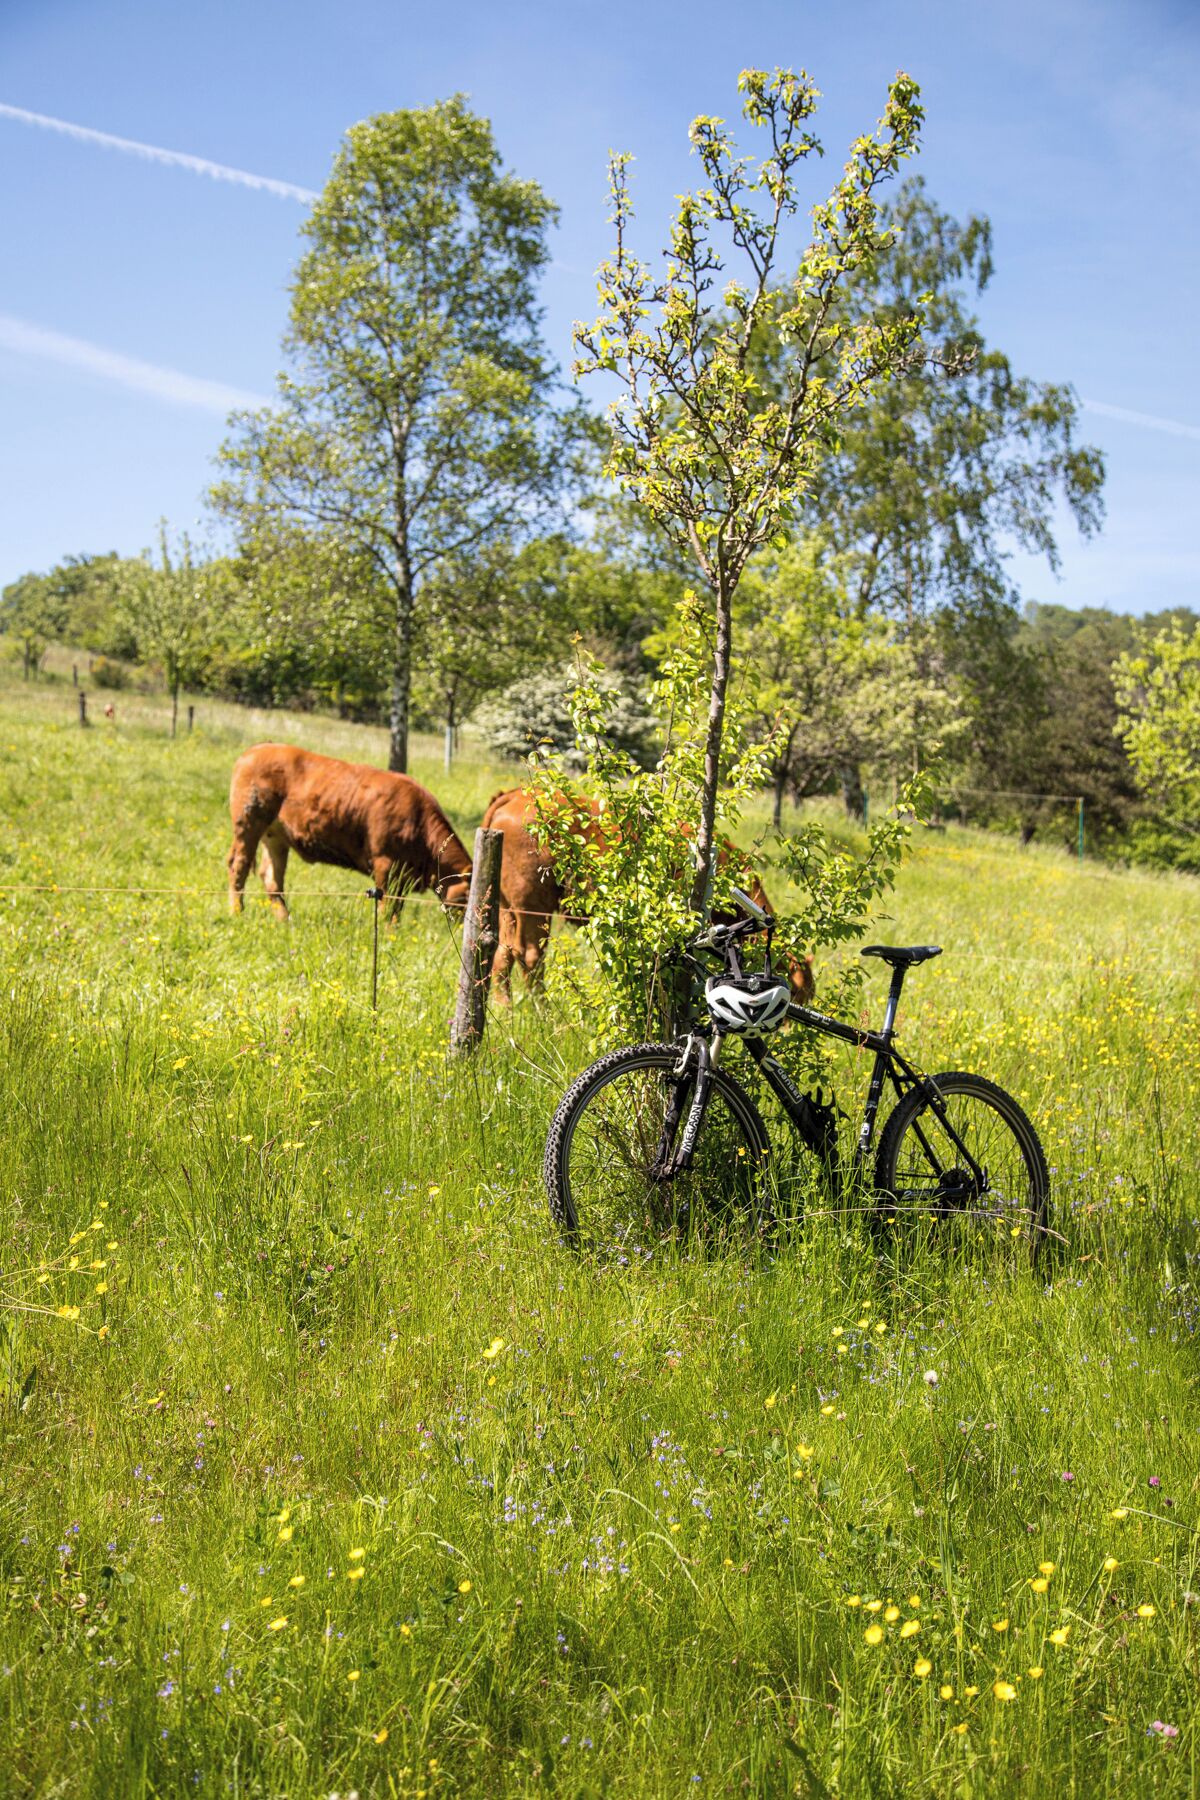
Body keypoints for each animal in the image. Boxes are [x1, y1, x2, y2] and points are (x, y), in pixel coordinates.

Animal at [227, 744, 472, 921]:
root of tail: (255, 750)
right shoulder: (385, 864)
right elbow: (387, 907)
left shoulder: (403, 876)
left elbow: (397, 907)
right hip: (248, 823)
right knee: (238, 865)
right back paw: (237, 912)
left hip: (275, 836)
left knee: (272, 877)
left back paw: (285, 920)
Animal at [480, 787, 815, 1005]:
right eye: (798, 991)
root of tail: (515, 794)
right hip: (532, 904)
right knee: (529, 955)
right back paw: (543, 1011)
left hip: (508, 908)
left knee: (503, 954)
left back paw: (505, 1008)